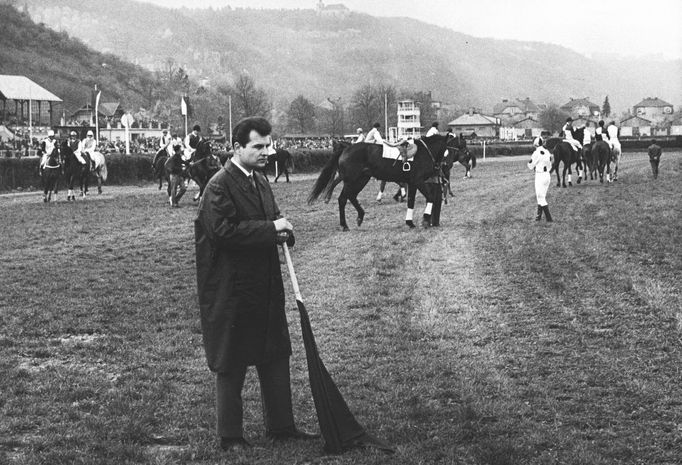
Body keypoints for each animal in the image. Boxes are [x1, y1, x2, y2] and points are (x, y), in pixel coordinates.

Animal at [310, 133, 456, 229]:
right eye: (451, 147)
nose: (446, 165)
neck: (423, 152)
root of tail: (346, 149)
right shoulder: (418, 181)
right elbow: (430, 197)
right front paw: (425, 219)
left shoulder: (412, 183)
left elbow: (411, 201)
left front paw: (410, 222)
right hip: (351, 181)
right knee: (342, 199)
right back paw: (344, 224)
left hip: (361, 180)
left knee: (351, 196)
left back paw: (360, 216)